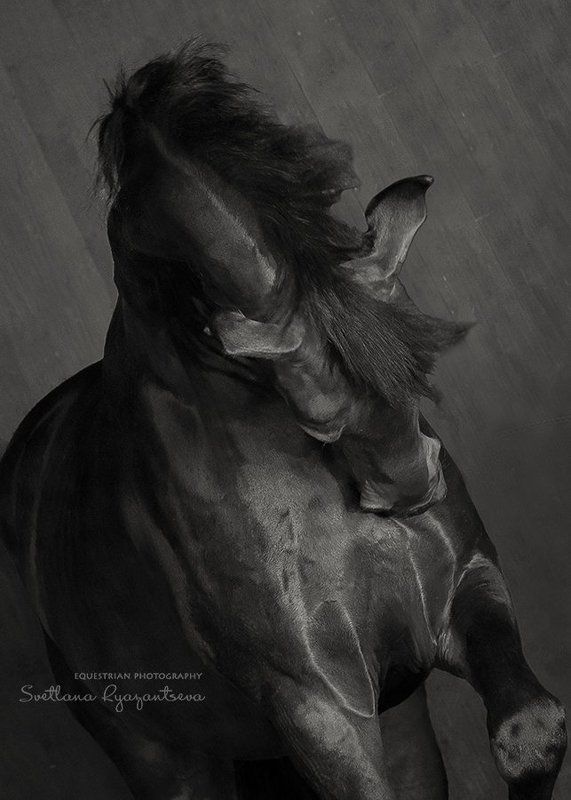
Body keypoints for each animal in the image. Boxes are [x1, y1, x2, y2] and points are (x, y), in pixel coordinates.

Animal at [0, 42, 566, 800]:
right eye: (319, 419)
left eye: (418, 365)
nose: (412, 491)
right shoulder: (319, 706)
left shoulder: (464, 592)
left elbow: (528, 731)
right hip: (172, 764)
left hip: (400, 722)